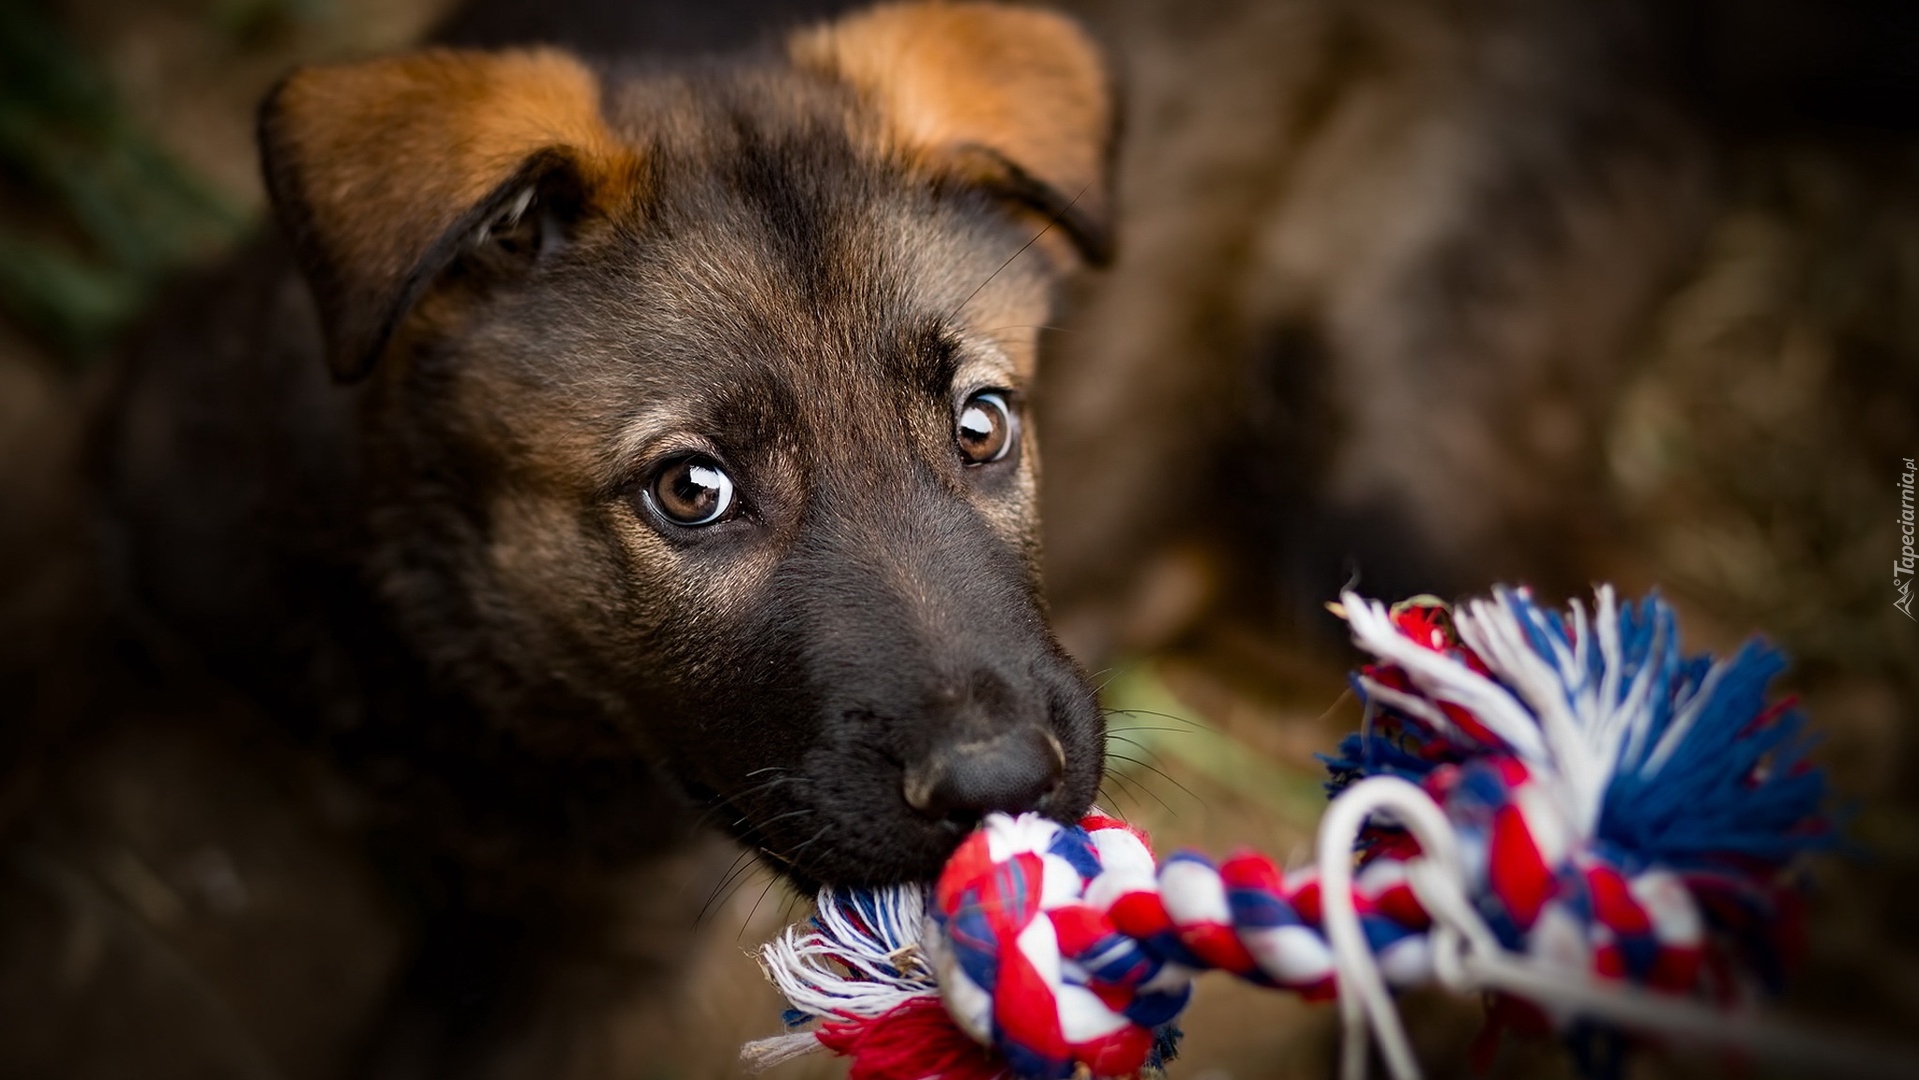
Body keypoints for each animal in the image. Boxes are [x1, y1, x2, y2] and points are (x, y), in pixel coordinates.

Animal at [26, 4, 1113, 1074]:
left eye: (982, 425)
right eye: (690, 489)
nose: (999, 787)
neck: (448, 657)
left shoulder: (588, 944)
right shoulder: (105, 512)